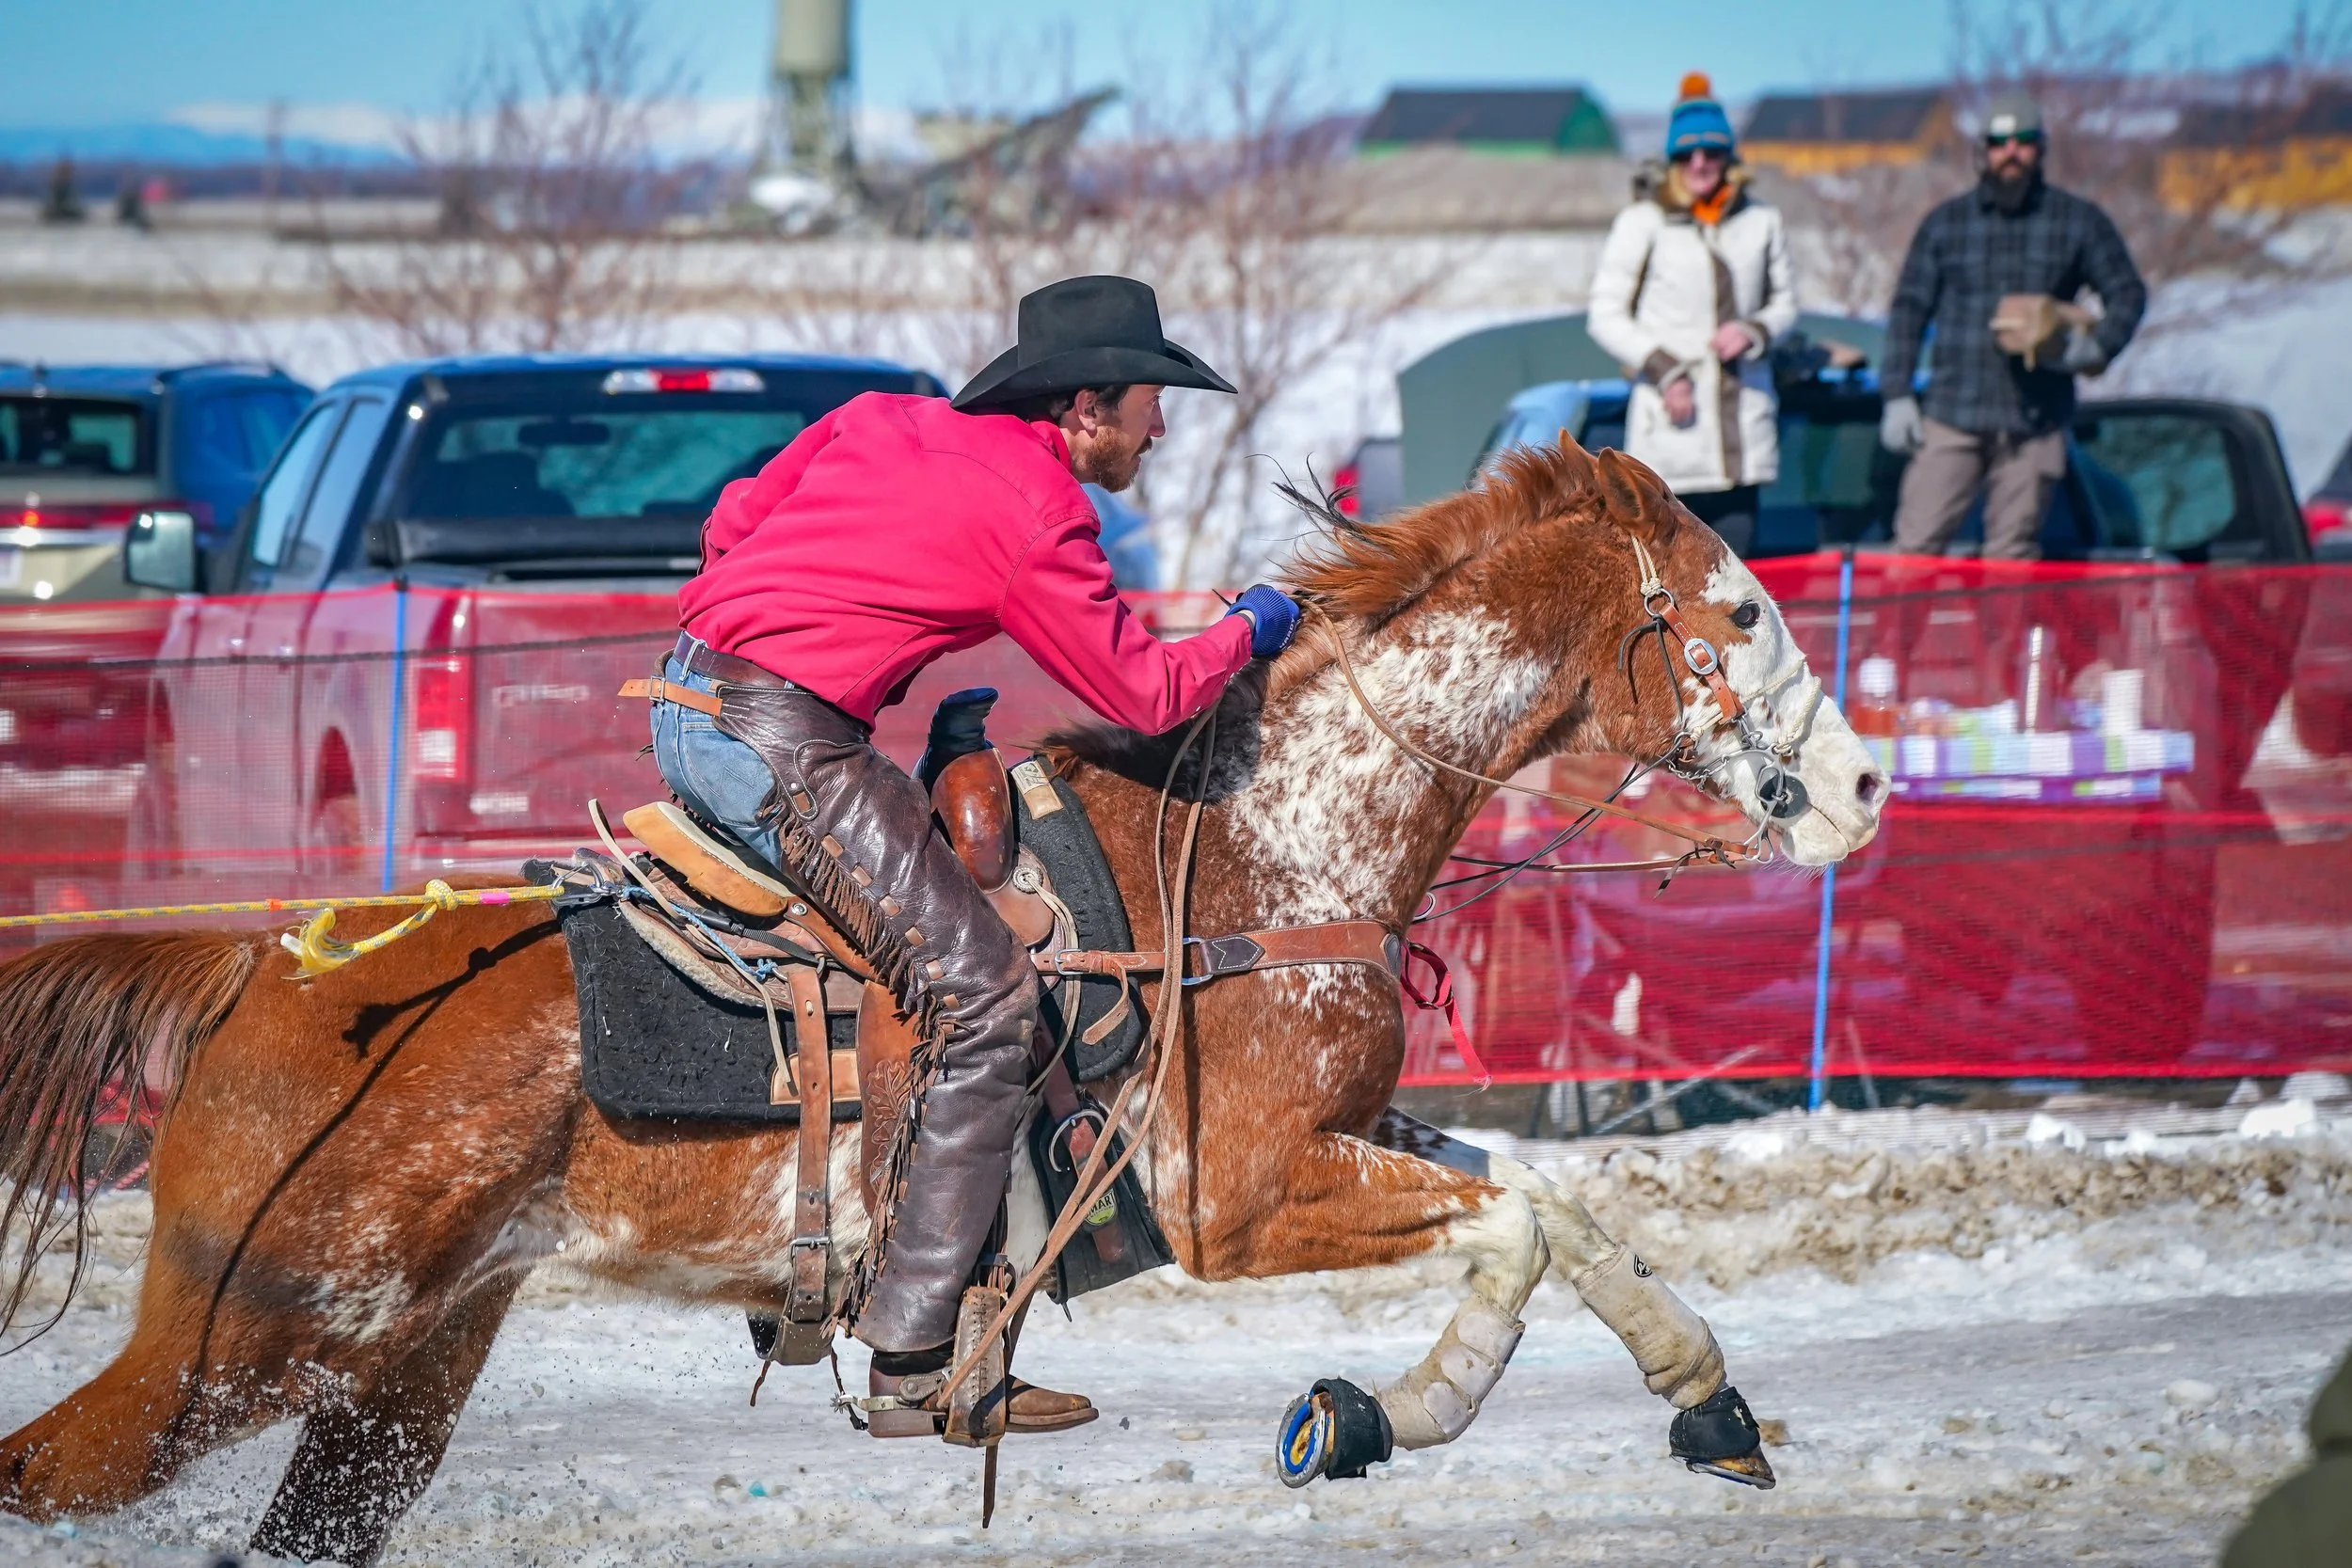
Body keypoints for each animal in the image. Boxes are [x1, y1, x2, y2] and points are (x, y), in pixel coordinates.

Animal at [0, 440, 1883, 1565]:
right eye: (1735, 608)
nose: (1866, 784)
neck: (1262, 838)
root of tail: (264, 965)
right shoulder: (1244, 1198)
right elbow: (1510, 1230)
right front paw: (1370, 1416)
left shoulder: (1347, 1136)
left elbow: (1560, 1206)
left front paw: (1711, 1407)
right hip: (239, 1341)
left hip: (393, 1373)